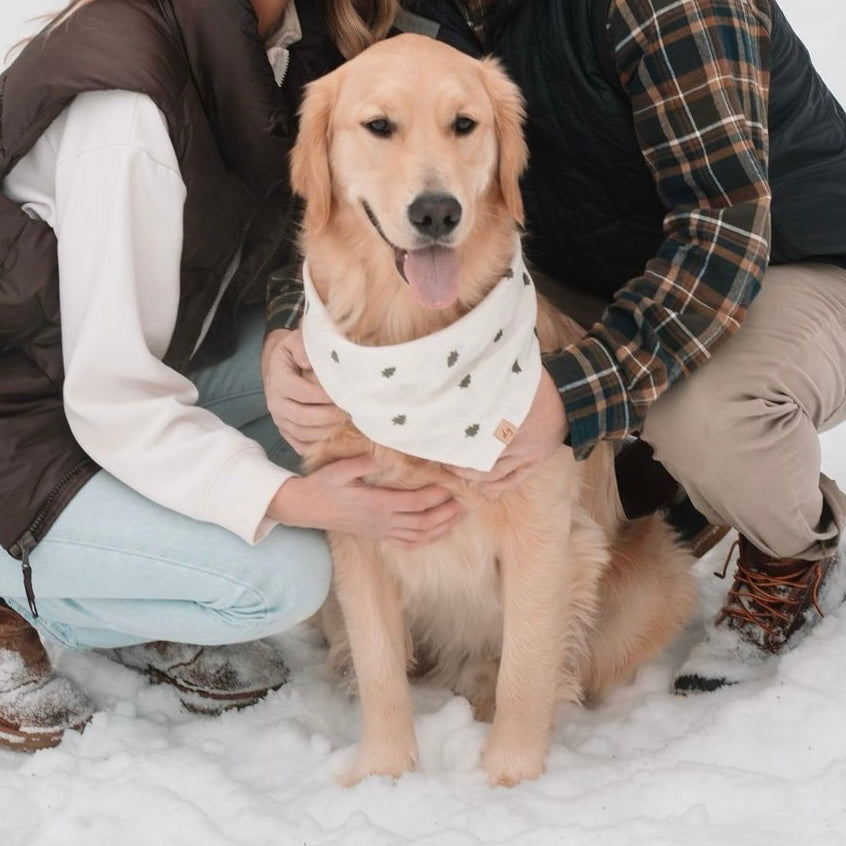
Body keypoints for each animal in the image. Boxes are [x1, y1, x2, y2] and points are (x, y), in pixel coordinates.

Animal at [288, 33, 700, 788]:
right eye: (378, 126)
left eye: (464, 124)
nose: (436, 212)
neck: (416, 350)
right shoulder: (356, 531)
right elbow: (382, 669)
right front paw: (383, 775)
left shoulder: (543, 538)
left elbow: (527, 673)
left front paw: (507, 782)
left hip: (655, 573)